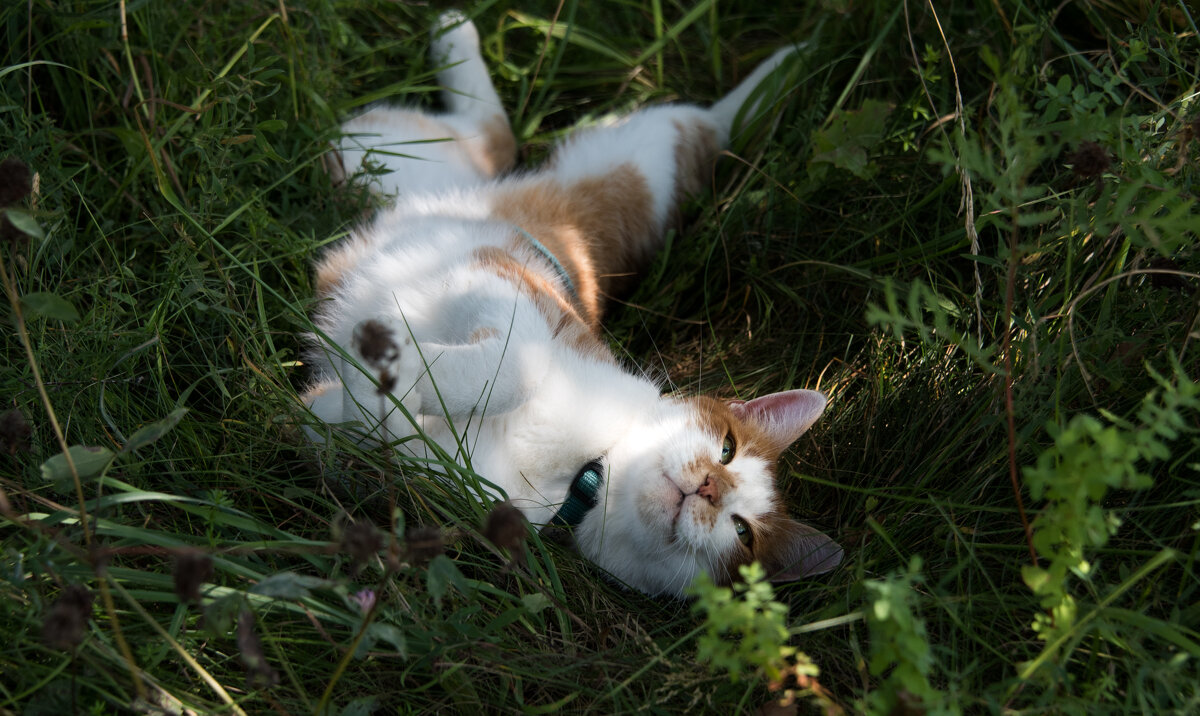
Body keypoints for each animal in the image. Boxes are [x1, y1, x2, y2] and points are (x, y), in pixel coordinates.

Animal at [302, 9, 844, 597]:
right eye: (727, 448)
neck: (589, 467)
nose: (709, 487)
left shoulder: (442, 480)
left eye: (743, 532)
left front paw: (369, 386)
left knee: (486, 136)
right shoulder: (508, 282)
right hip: (626, 157)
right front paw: (394, 368)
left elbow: (349, 425)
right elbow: (518, 367)